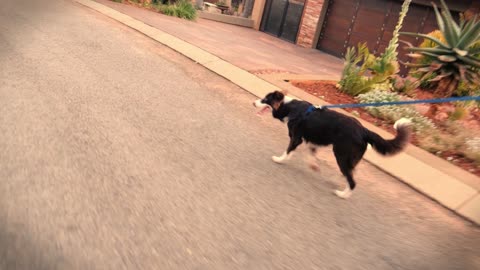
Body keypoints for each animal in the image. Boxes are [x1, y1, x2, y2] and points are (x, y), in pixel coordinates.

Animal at [253, 90, 410, 198]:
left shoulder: (296, 137)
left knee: (352, 181)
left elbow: (288, 150)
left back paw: (343, 194)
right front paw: (314, 166)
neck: (290, 108)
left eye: (265, 99)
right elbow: (310, 154)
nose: (253, 103)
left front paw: (279, 159)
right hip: (350, 157)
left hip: (341, 154)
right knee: (350, 172)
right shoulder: (311, 140)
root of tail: (363, 130)